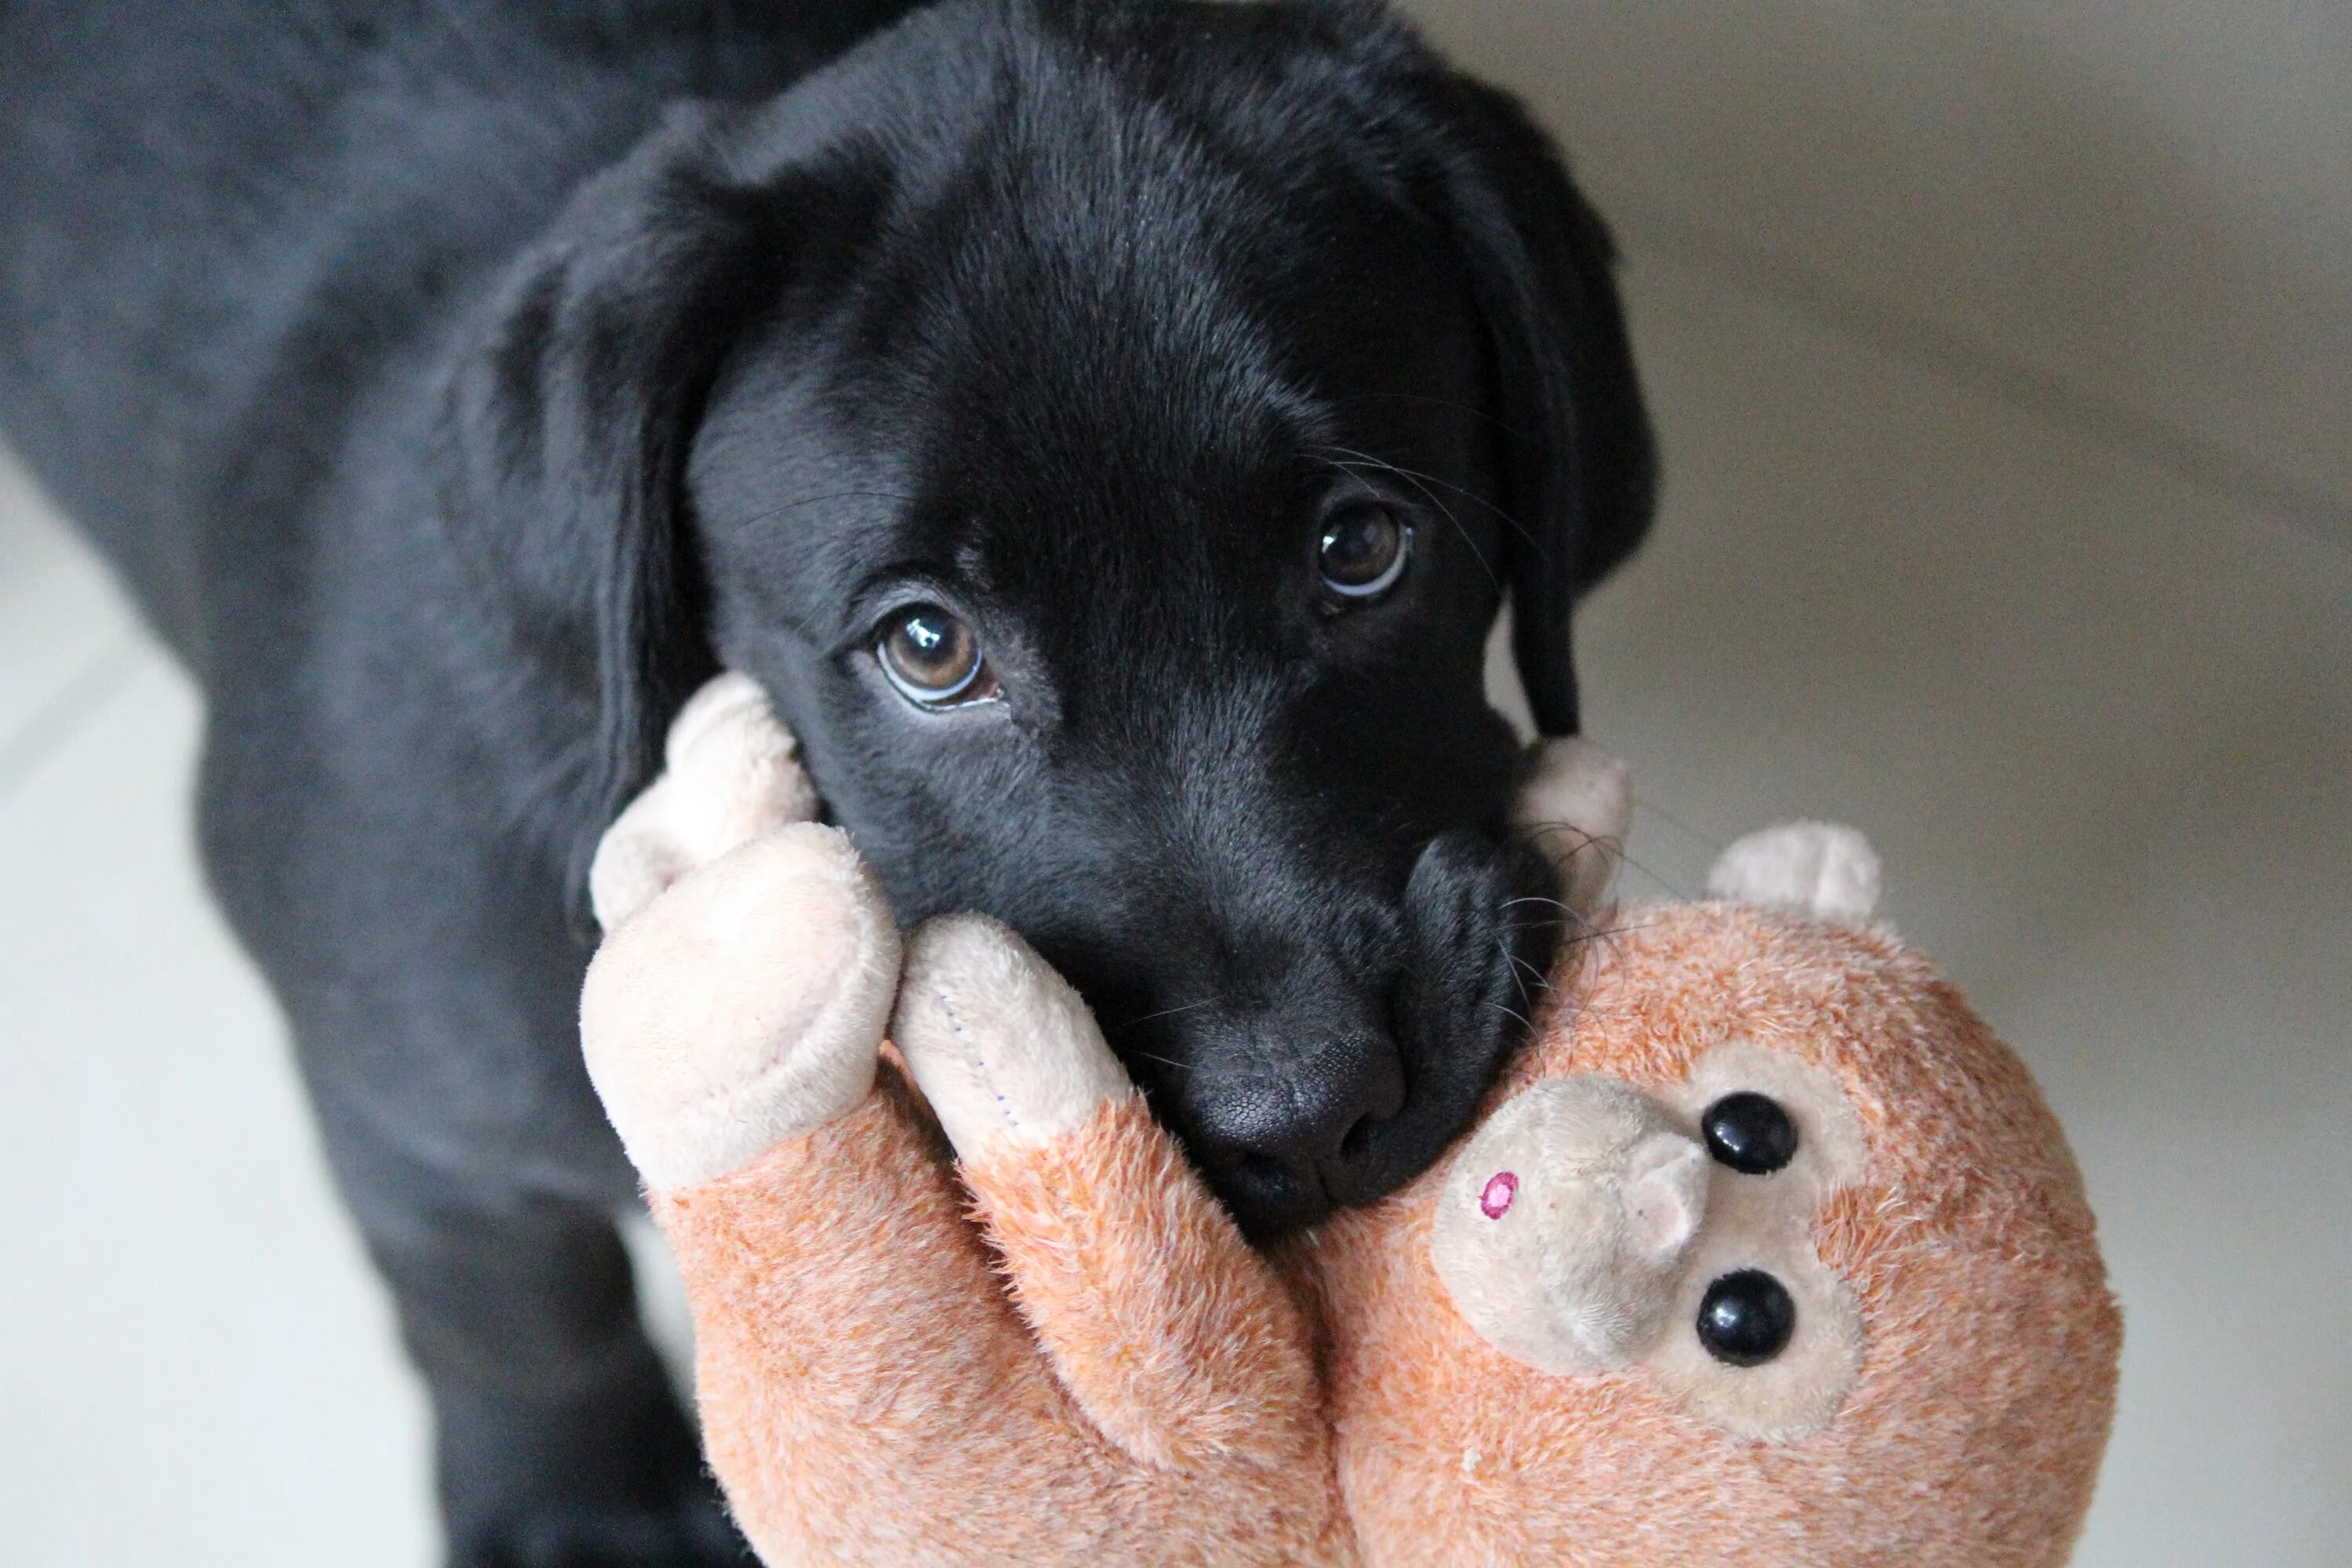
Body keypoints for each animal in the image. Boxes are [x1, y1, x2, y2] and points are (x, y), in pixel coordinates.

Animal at [0, 5, 1656, 1561]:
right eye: (929, 647)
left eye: (1361, 548)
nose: (1304, 1117)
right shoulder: (416, 1114)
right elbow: (514, 1313)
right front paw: (576, 1504)